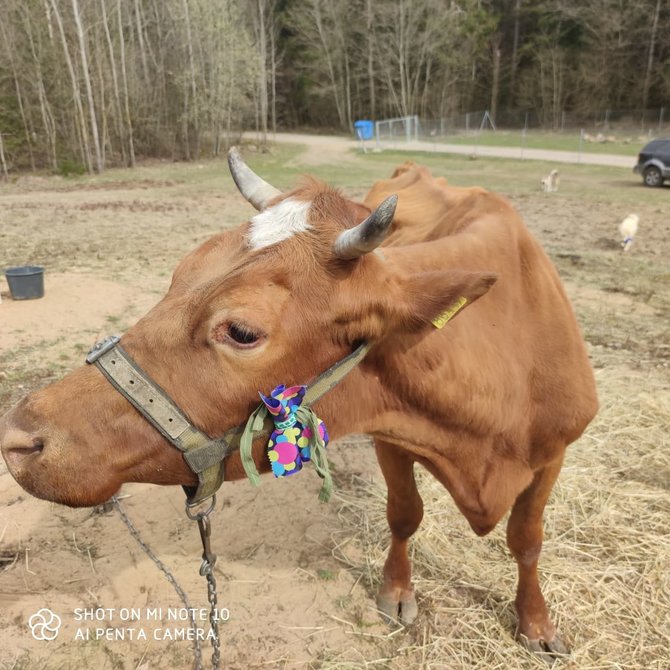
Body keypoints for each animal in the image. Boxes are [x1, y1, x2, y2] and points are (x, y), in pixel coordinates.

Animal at [0, 152, 600, 660]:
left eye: (243, 331)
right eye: (177, 275)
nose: (19, 436)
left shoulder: (554, 454)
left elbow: (527, 540)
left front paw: (536, 623)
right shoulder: (391, 436)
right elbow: (405, 513)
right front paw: (397, 589)